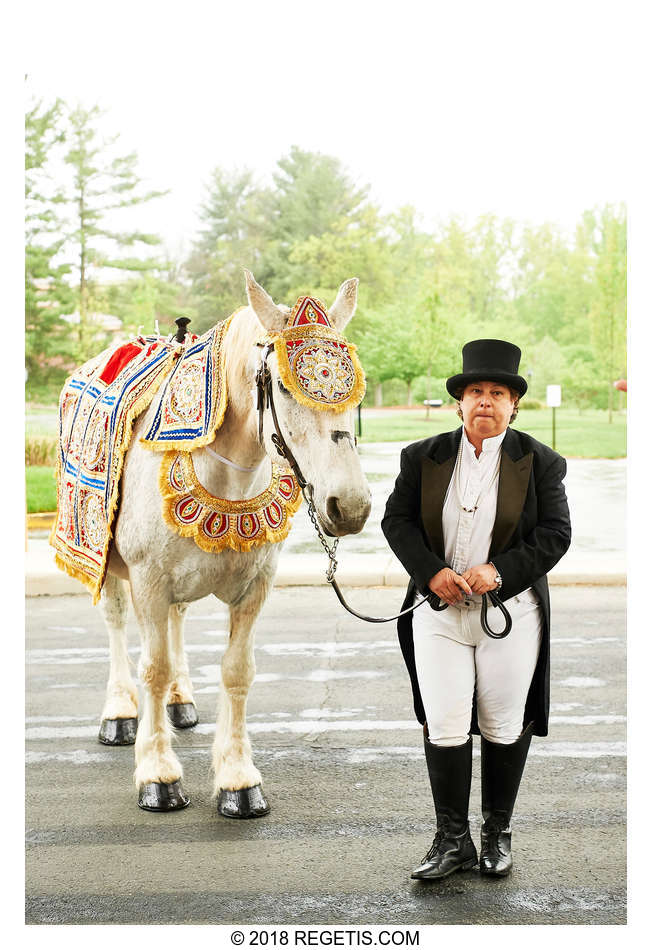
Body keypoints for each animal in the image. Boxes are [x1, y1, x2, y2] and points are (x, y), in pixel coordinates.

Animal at [97, 272, 372, 816]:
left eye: (355, 388)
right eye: (283, 385)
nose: (349, 506)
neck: (224, 474)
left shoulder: (254, 587)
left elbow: (237, 671)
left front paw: (238, 780)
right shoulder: (148, 580)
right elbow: (153, 668)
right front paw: (157, 774)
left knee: (179, 621)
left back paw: (181, 702)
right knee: (117, 623)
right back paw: (119, 712)